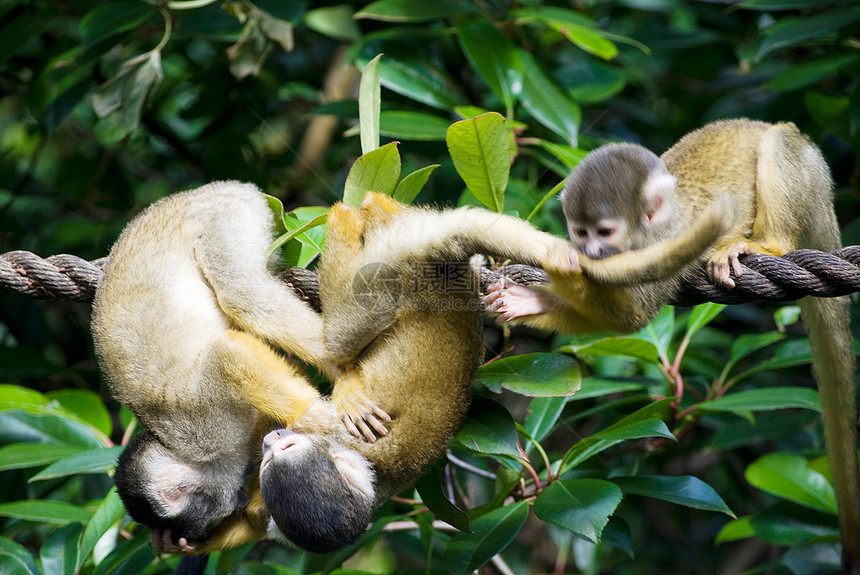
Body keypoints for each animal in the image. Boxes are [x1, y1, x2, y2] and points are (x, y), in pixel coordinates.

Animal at [89, 182, 340, 548]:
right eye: (223, 516)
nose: (237, 501)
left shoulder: (205, 425)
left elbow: (225, 353)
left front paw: (315, 415)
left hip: (224, 218)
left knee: (240, 291)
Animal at [490, 119, 860, 572]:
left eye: (605, 232)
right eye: (580, 232)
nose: (589, 250)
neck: (647, 232)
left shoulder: (670, 244)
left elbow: (634, 316)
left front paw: (559, 268)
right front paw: (531, 299)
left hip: (812, 179)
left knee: (781, 141)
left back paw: (767, 243)